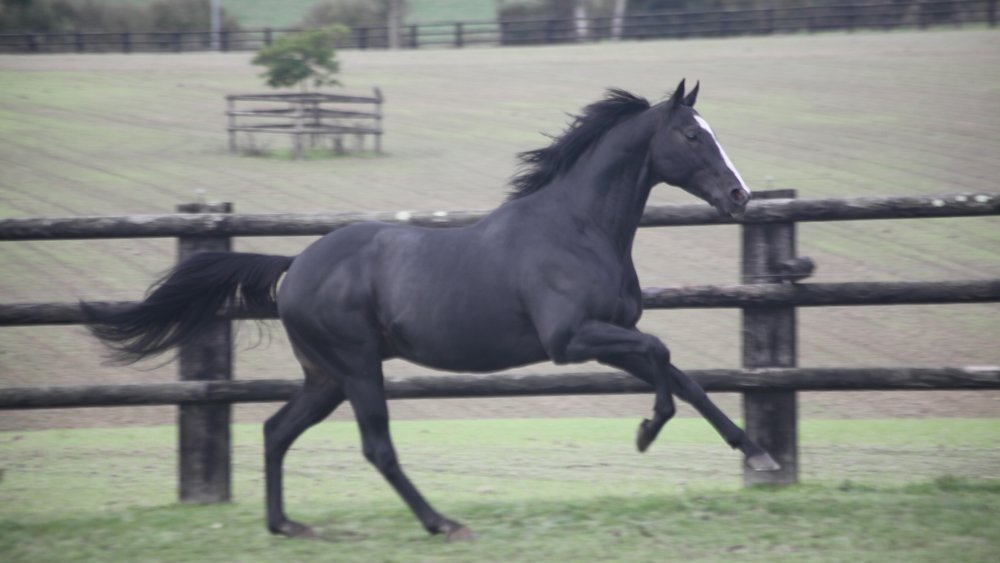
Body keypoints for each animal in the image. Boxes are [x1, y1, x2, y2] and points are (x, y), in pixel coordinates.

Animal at [83, 80, 778, 542]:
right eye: (692, 134)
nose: (740, 196)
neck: (577, 228)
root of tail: (296, 265)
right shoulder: (572, 339)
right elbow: (664, 359)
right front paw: (646, 431)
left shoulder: (612, 336)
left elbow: (684, 377)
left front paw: (756, 454)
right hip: (358, 367)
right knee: (377, 448)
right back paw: (442, 523)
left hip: (326, 377)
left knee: (277, 431)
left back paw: (287, 525)